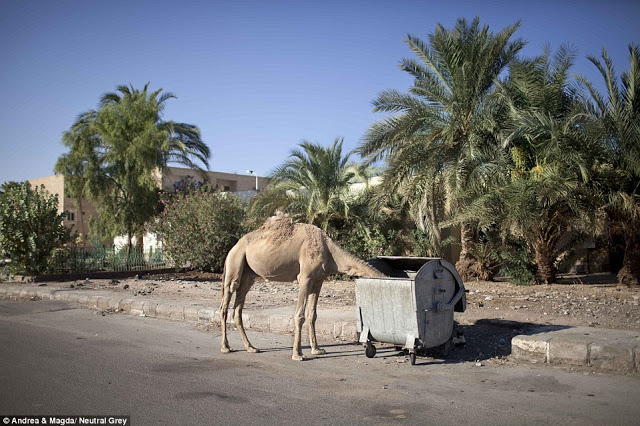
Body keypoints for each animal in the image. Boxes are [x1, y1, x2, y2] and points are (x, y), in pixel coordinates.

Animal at [219, 213, 384, 360]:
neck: (330, 252)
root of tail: (233, 247)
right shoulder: (305, 277)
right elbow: (300, 315)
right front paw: (298, 355)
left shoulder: (318, 280)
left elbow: (312, 315)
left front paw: (317, 350)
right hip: (235, 264)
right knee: (226, 302)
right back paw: (226, 347)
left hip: (248, 275)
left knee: (238, 309)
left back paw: (251, 347)